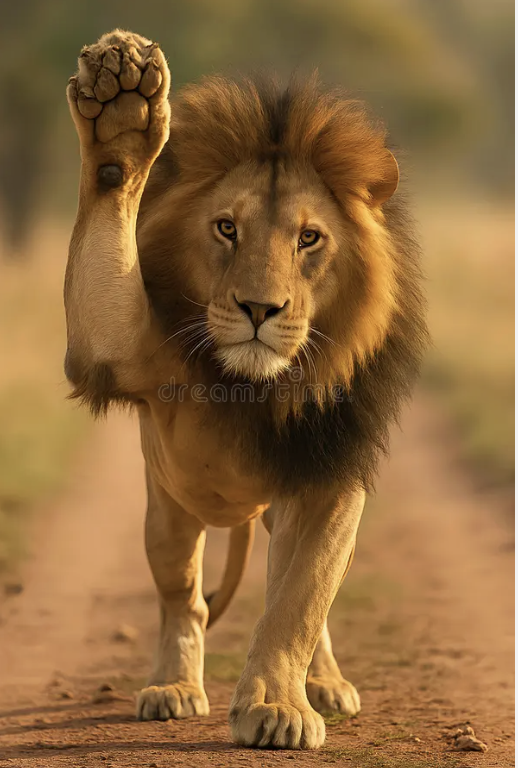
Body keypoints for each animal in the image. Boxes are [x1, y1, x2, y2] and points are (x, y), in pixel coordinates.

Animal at [64, 30, 428, 750]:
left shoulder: (329, 476)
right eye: (226, 228)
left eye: (309, 238)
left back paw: (324, 684)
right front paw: (122, 111)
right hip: (166, 510)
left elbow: (300, 601)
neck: (256, 388)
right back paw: (173, 686)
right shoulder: (120, 348)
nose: (260, 308)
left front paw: (277, 706)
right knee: (183, 598)